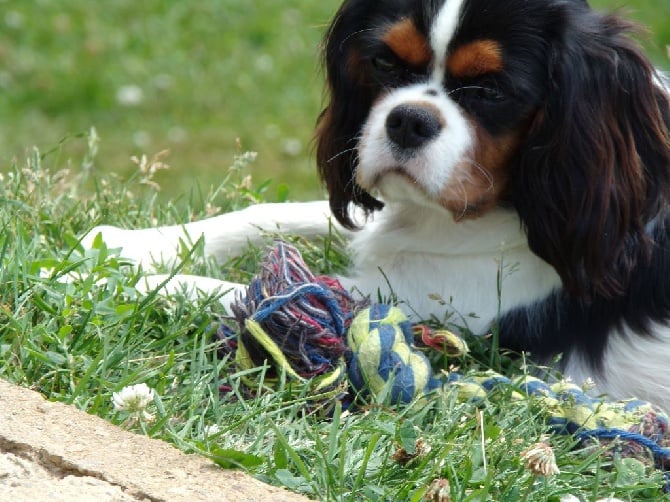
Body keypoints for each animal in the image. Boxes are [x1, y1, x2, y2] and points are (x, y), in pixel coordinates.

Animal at [81, 0, 668, 408]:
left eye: (491, 91)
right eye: (385, 62)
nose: (408, 119)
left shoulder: (437, 312)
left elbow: (248, 296)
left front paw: (102, 280)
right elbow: (273, 215)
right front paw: (129, 245)